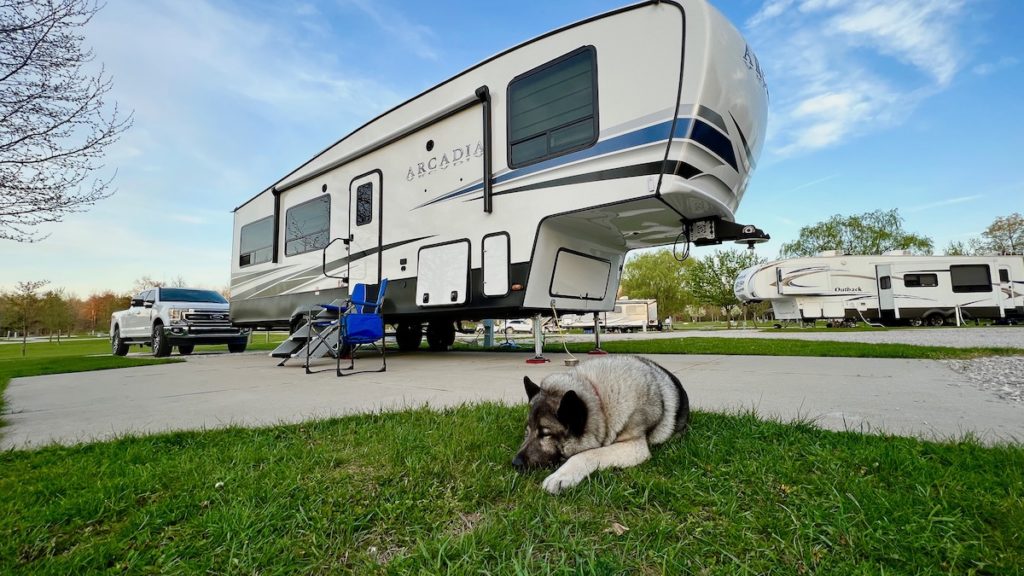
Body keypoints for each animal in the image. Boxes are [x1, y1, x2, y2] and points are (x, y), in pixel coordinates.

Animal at [509, 354, 688, 494]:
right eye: (527, 432)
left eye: (545, 434)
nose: (515, 463)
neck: (600, 402)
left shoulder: (634, 446)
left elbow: (588, 454)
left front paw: (560, 476)